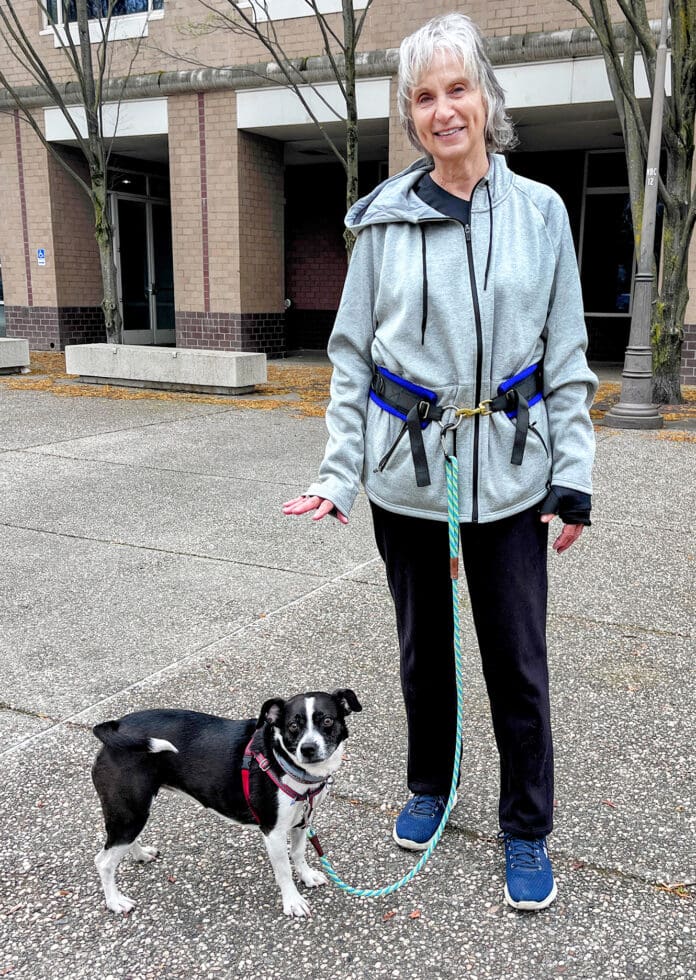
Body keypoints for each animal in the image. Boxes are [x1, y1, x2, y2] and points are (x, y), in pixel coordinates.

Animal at [92, 688, 362, 920]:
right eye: (293, 726)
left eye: (327, 721)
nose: (308, 748)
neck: (286, 763)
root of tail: (115, 727)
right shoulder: (273, 832)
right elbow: (284, 869)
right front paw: (293, 901)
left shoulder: (302, 820)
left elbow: (297, 853)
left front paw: (306, 876)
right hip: (129, 811)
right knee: (104, 861)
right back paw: (115, 902)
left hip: (134, 810)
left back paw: (140, 855)